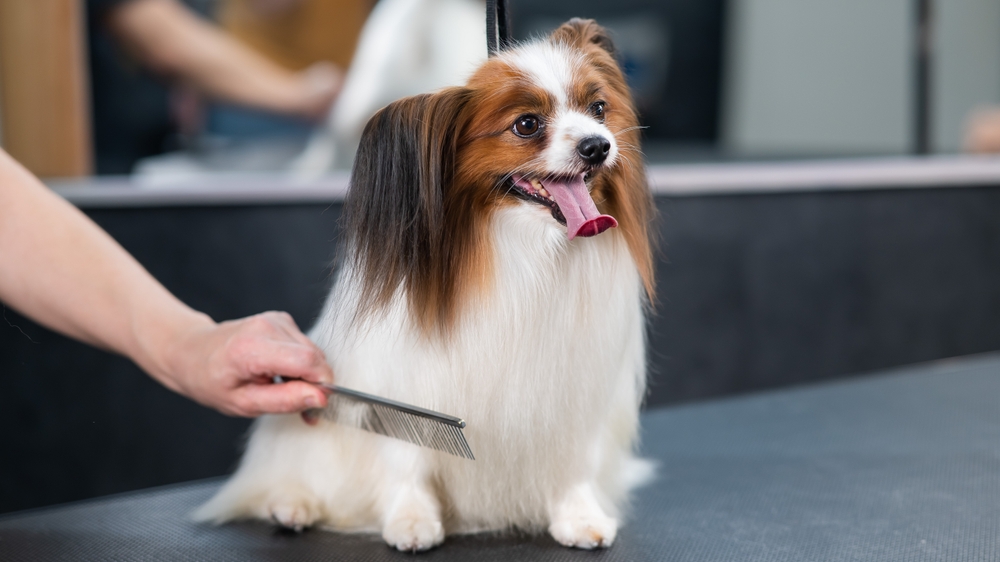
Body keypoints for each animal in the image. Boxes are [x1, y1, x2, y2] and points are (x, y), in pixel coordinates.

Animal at [199, 18, 660, 552]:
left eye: (599, 109)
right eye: (526, 124)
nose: (598, 145)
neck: (523, 246)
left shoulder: (576, 393)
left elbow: (573, 466)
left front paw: (579, 517)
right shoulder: (413, 386)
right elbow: (408, 461)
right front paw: (412, 520)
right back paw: (293, 504)